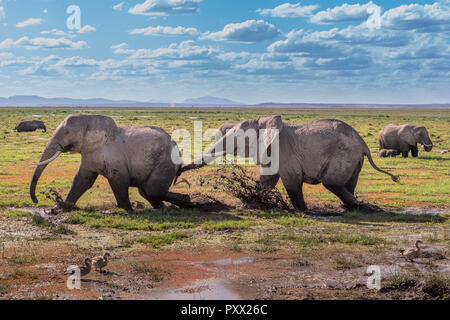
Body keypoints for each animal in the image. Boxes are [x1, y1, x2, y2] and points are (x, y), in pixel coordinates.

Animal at [29, 114, 188, 211]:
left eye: (67, 132)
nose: (36, 201)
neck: (90, 119)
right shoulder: (90, 154)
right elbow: (82, 181)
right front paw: (62, 207)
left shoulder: (114, 157)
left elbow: (117, 180)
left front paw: (126, 209)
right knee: (146, 191)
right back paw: (166, 207)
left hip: (166, 161)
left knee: (152, 190)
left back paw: (186, 202)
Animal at [179, 116, 398, 211]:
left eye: (238, 138)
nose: (179, 170)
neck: (264, 122)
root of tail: (363, 143)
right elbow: (266, 180)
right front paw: (252, 202)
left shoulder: (282, 151)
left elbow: (292, 181)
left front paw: (302, 210)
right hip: (354, 159)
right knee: (348, 183)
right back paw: (352, 207)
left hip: (344, 155)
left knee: (332, 182)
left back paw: (360, 206)